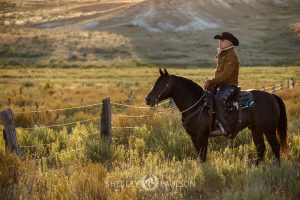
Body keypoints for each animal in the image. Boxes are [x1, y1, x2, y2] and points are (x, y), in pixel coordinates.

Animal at [146, 68, 288, 163]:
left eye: (163, 84)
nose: (148, 99)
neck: (197, 105)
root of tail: (272, 96)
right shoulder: (193, 137)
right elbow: (200, 156)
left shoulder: (202, 136)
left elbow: (203, 156)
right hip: (256, 129)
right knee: (261, 149)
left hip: (269, 130)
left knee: (275, 147)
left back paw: (277, 168)